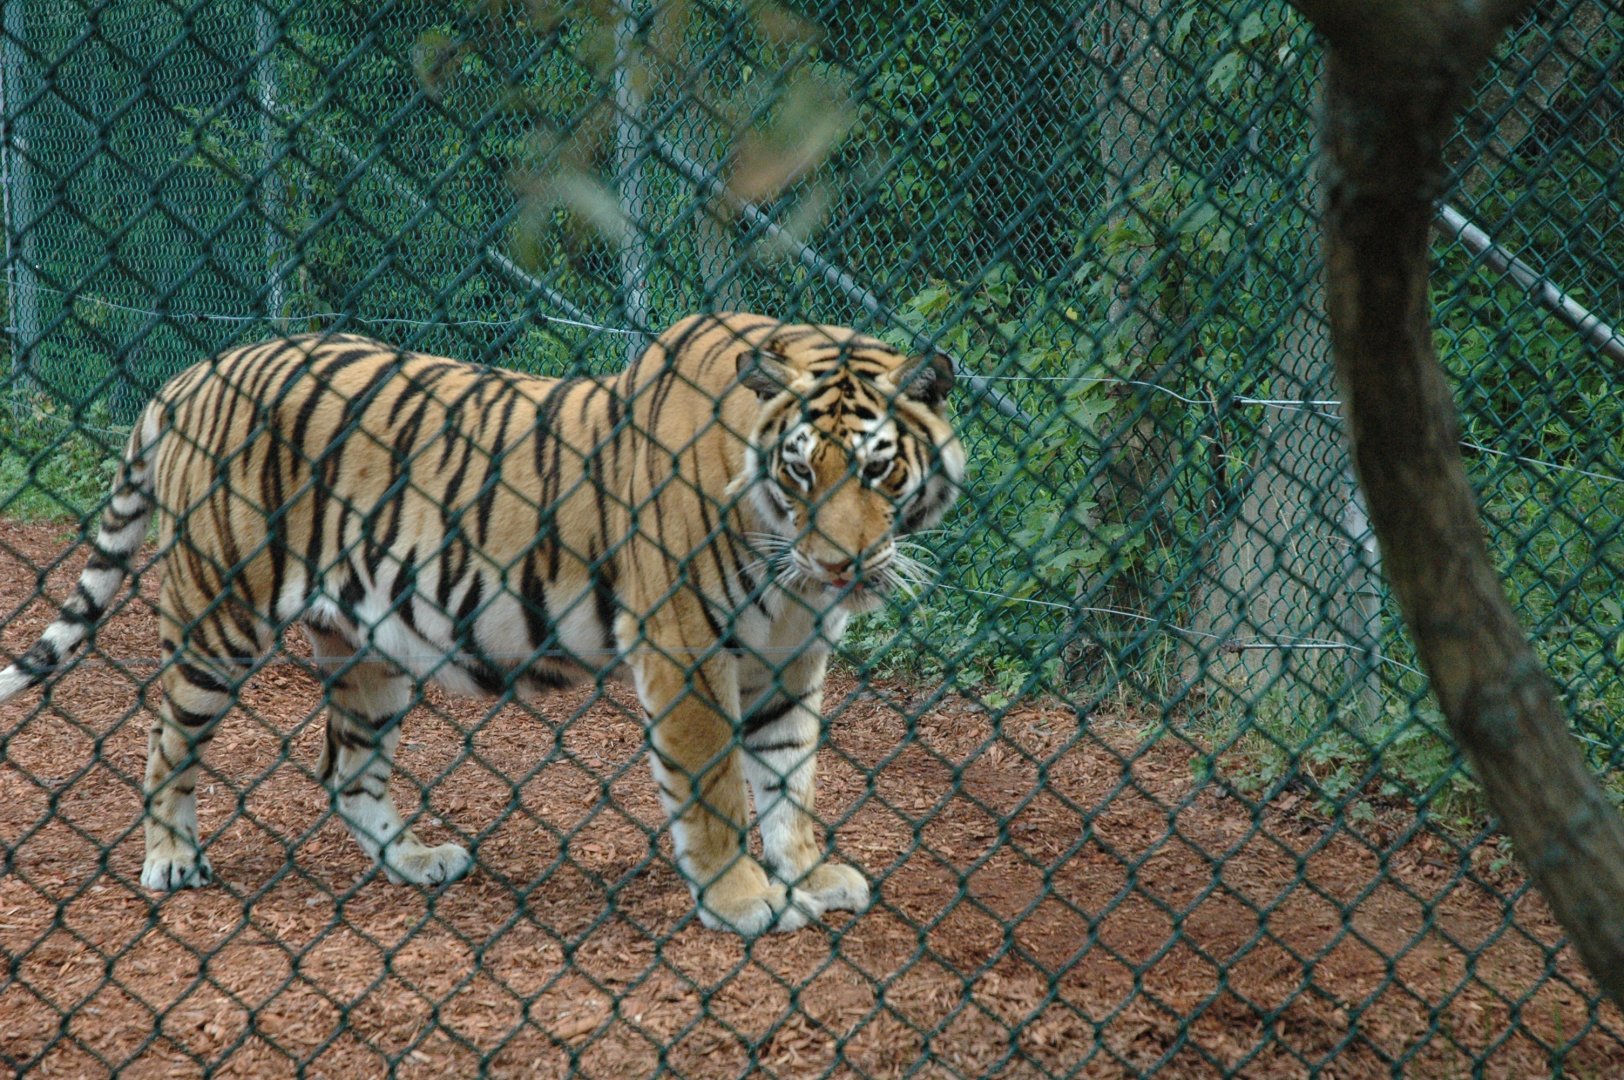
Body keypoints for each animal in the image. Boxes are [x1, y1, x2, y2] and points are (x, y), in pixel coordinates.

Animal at [0, 313, 965, 935]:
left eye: (878, 469)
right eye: (800, 472)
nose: (841, 565)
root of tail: (191, 374)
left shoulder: (788, 658)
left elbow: (790, 778)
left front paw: (811, 875)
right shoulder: (685, 645)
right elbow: (718, 788)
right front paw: (744, 900)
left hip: (367, 645)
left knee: (346, 769)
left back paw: (417, 862)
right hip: (220, 615)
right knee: (166, 736)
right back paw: (170, 859)